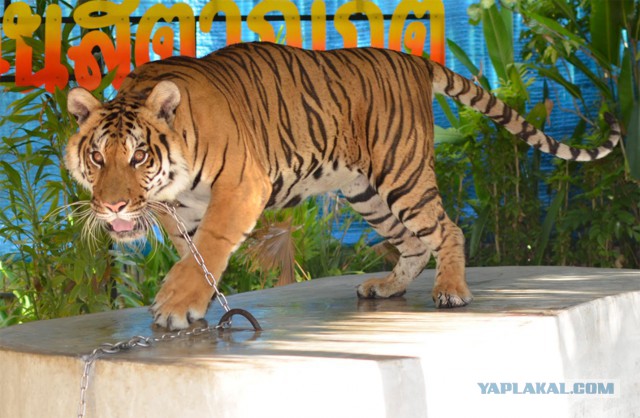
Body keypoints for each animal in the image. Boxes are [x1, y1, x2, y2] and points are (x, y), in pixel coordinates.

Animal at [65, 42, 620, 330]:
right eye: (97, 157)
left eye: (138, 155)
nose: (113, 204)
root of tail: (413, 59)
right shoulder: (179, 211)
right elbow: (192, 254)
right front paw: (195, 302)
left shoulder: (241, 187)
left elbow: (211, 245)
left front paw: (178, 303)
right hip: (366, 192)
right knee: (413, 243)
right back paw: (387, 287)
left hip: (403, 173)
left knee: (447, 229)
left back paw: (451, 290)